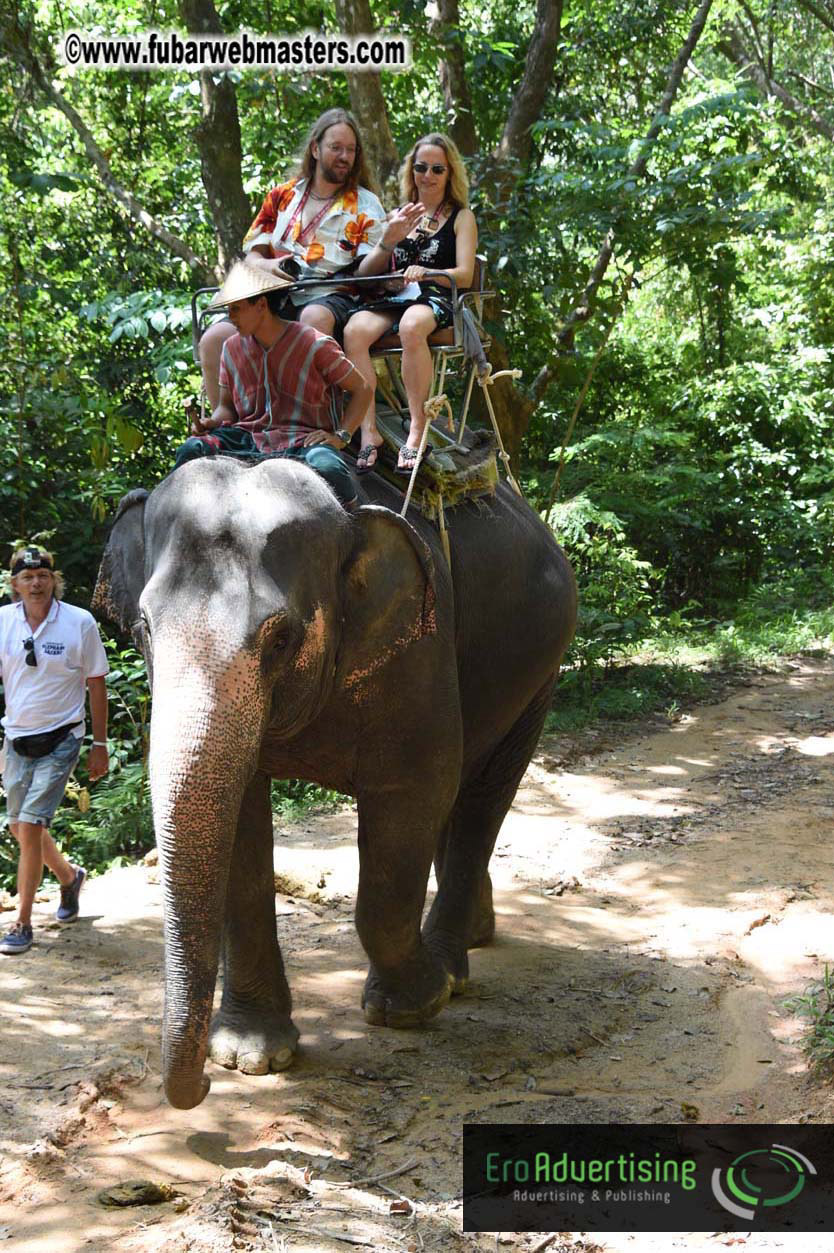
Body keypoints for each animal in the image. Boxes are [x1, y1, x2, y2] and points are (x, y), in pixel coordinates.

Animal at [92, 455, 576, 1109]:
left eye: (280, 637)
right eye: (142, 628)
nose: (201, 1088)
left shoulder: (420, 648)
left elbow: (411, 795)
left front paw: (414, 1005)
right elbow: (242, 823)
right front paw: (251, 1055)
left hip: (540, 669)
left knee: (484, 791)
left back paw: (452, 966)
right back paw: (477, 935)